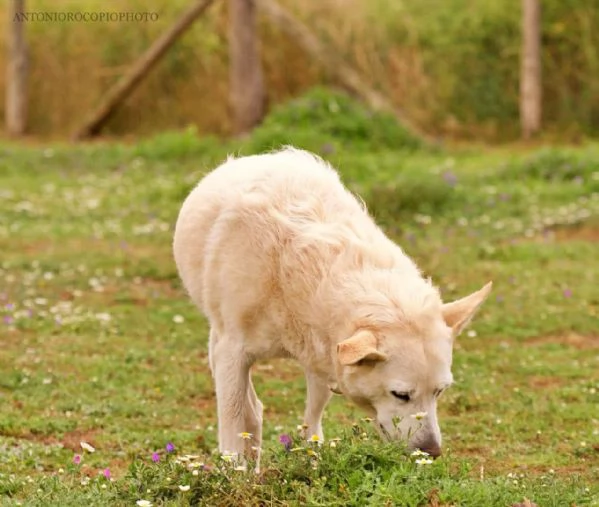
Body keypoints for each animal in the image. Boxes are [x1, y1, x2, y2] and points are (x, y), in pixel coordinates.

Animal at [173, 146, 492, 464]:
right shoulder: (232, 353)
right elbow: (233, 423)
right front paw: (235, 470)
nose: (432, 452)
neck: (292, 270)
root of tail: (262, 156)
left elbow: (312, 424)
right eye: (401, 395)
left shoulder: (324, 359)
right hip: (219, 344)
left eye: (439, 392)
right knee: (249, 408)